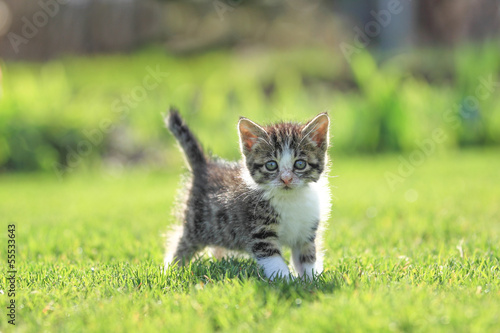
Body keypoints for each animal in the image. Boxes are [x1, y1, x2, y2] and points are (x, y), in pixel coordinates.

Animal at [162, 107, 330, 278]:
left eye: (300, 164)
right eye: (271, 165)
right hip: (196, 225)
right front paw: (285, 280)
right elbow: (273, 260)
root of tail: (205, 168)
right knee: (180, 244)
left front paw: (310, 279)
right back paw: (170, 269)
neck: (290, 199)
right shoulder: (260, 232)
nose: (286, 179)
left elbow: (307, 257)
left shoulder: (306, 232)